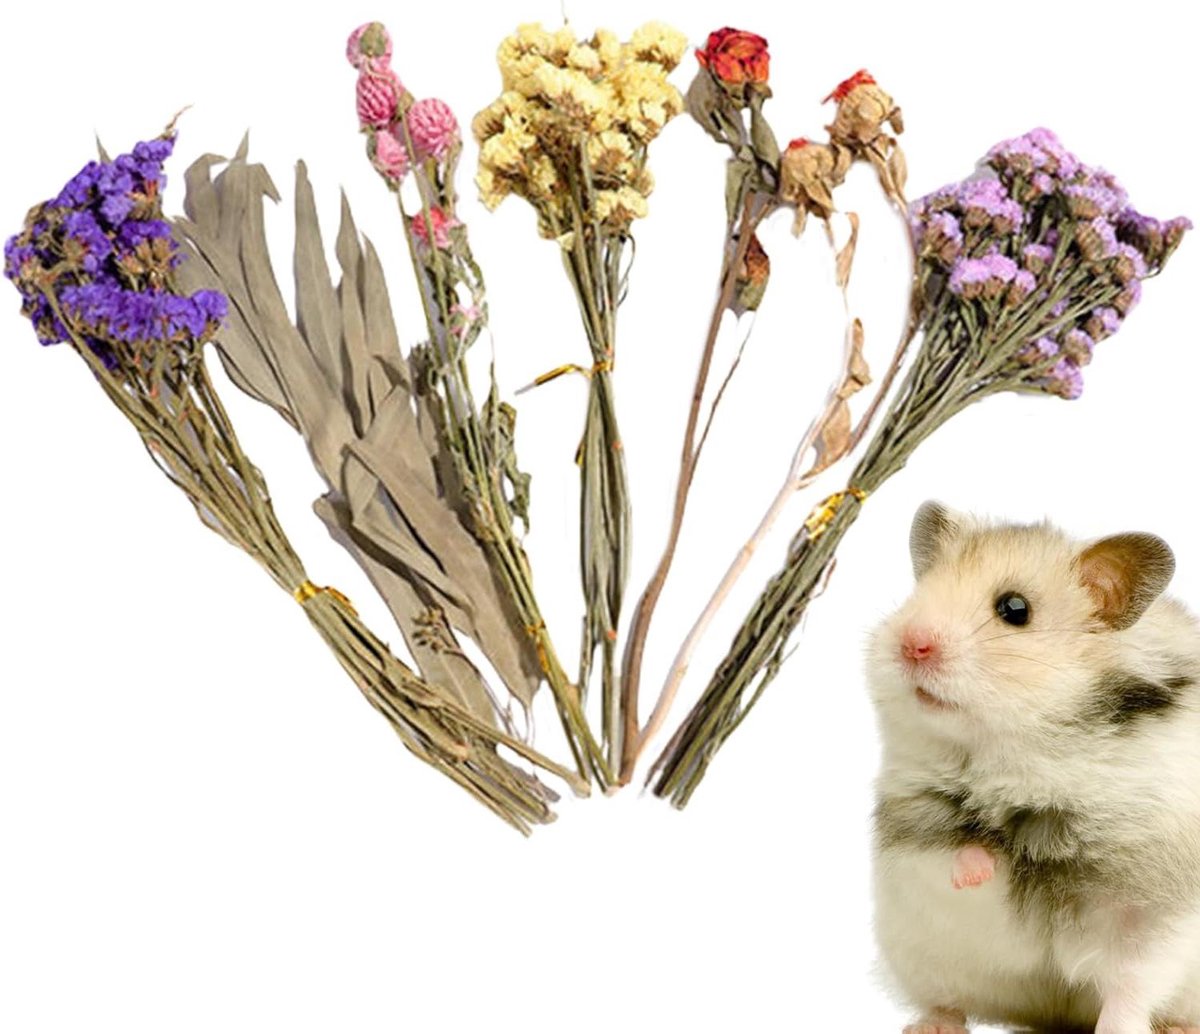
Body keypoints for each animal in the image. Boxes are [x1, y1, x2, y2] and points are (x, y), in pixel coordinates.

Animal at [867, 502, 1200, 1034]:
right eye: (919, 592)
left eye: (1014, 609)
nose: (911, 643)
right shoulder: (912, 828)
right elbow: (952, 852)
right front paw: (981, 867)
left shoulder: (1150, 910)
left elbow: (1131, 987)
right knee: (944, 998)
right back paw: (931, 1026)